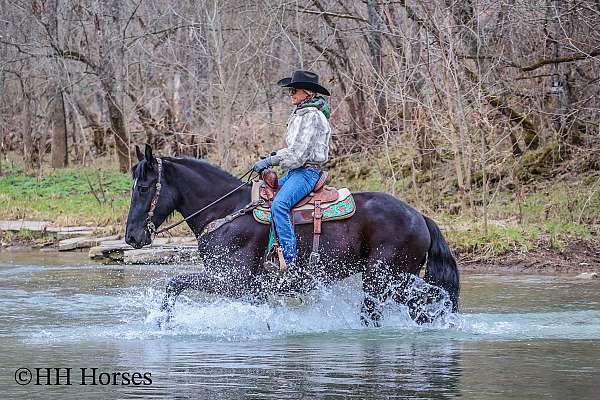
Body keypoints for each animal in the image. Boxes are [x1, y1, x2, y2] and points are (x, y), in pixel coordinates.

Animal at [125, 145, 460, 326]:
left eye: (143, 187)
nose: (131, 237)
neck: (226, 212)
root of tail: (420, 217)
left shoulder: (232, 280)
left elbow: (175, 283)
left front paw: (163, 321)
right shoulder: (249, 289)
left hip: (383, 278)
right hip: (393, 280)